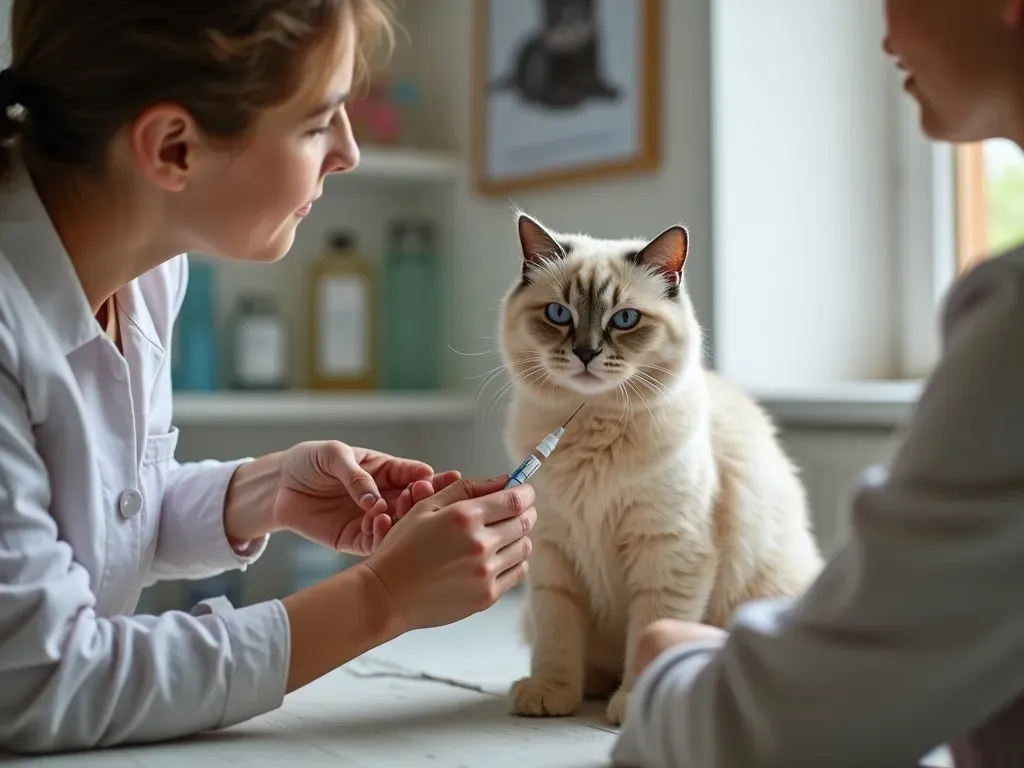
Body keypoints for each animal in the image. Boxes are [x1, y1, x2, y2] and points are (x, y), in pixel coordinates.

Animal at [489, 0, 618, 110]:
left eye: (584, 5)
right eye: (555, 9)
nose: (571, 13)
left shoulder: (592, 59)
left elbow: (596, 81)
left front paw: (610, 91)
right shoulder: (549, 66)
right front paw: (562, 99)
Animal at [495, 211, 823, 729]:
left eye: (624, 319)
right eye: (559, 315)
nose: (585, 353)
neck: (591, 428)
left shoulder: (668, 549)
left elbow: (651, 628)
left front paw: (632, 703)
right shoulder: (553, 553)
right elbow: (556, 638)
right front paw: (550, 694)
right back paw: (586, 686)